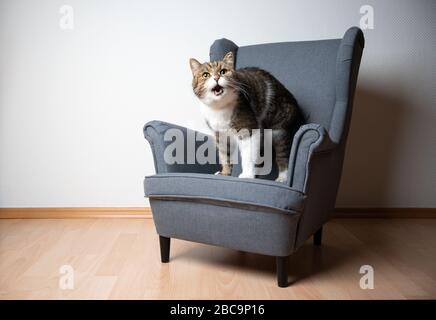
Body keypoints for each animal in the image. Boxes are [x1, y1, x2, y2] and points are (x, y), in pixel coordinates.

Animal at [187, 52, 304, 182]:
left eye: (223, 71)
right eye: (205, 75)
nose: (216, 78)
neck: (219, 108)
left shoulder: (248, 128)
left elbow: (248, 155)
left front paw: (247, 175)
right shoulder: (220, 134)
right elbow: (224, 155)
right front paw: (225, 173)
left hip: (279, 130)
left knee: (283, 154)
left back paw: (282, 178)